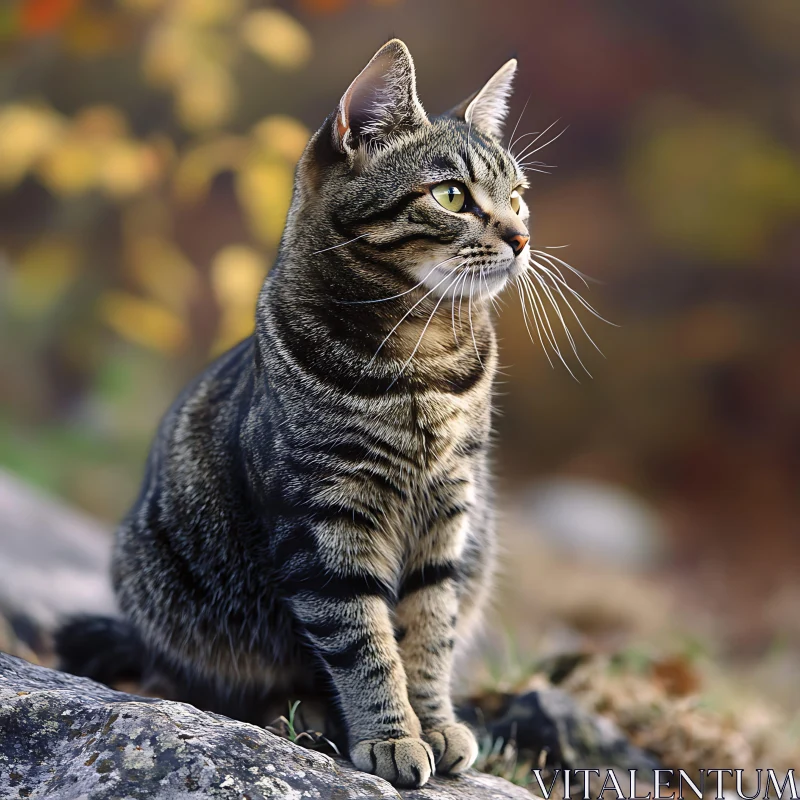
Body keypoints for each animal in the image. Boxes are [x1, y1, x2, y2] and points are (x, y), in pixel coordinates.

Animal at [56, 39, 532, 788]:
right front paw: (392, 737)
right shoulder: (326, 520)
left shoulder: (450, 512)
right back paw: (302, 717)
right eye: (453, 195)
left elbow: (429, 631)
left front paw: (433, 722)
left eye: (517, 197)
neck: (424, 355)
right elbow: (365, 645)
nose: (520, 237)